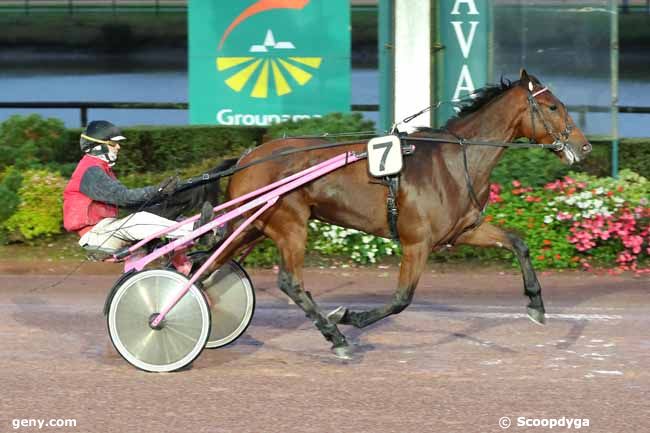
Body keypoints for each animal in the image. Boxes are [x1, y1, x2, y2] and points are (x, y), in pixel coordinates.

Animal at [206, 68, 588, 358]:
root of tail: (246, 158)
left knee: (210, 264)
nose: (584, 146)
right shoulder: (416, 241)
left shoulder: (465, 230)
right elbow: (402, 299)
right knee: (289, 281)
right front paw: (348, 317)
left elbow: (517, 243)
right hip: (289, 226)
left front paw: (536, 304)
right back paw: (335, 336)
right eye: (552, 106)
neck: (454, 161)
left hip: (253, 226)